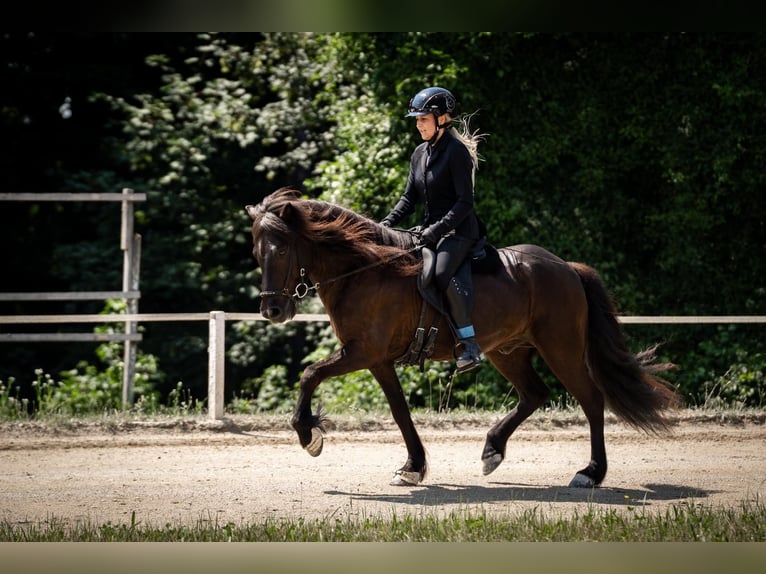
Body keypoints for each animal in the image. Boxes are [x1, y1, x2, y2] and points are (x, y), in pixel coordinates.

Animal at [245, 187, 680, 488]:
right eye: (256, 252)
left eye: (281, 250)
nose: (272, 311)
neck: (365, 269)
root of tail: (567, 268)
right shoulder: (378, 360)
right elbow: (400, 412)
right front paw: (413, 467)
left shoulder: (362, 352)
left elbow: (310, 375)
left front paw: (308, 435)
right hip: (507, 350)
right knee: (534, 394)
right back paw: (492, 450)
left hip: (561, 348)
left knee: (590, 399)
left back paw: (590, 472)